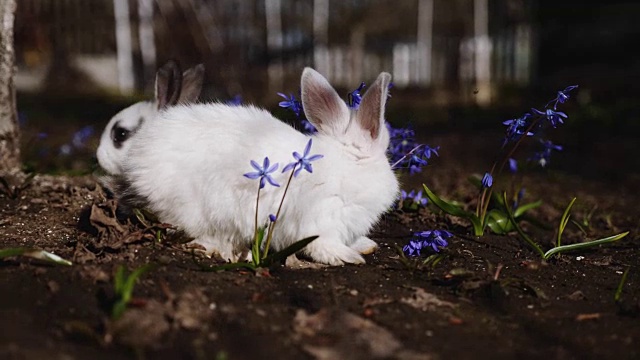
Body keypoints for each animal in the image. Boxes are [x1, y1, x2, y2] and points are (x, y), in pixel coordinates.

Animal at [115, 67, 396, 266]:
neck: (348, 166)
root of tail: (136, 166)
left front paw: (364, 245)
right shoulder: (322, 215)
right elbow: (322, 244)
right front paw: (347, 257)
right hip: (198, 211)